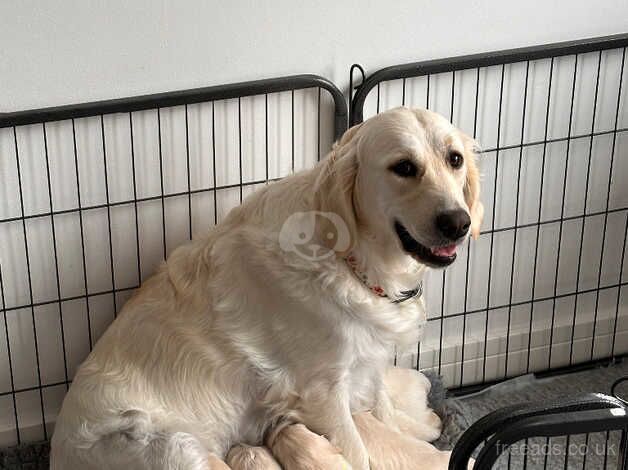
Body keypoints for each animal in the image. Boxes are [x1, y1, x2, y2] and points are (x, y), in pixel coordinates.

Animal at [50, 106, 480, 470]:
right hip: (171, 445)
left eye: (455, 159)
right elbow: (357, 452)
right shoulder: (322, 392)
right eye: (403, 167)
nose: (458, 223)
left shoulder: (366, 362)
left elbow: (382, 409)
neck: (350, 256)